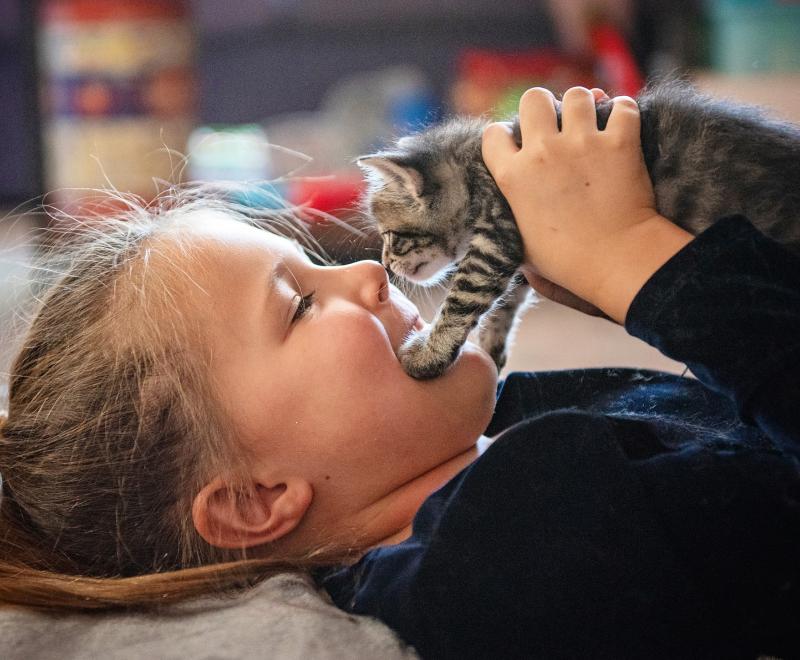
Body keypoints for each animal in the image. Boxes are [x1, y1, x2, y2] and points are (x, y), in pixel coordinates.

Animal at [358, 82, 800, 378]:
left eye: (392, 237)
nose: (385, 265)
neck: (475, 166)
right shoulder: (517, 252)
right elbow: (506, 304)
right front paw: (491, 349)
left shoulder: (497, 233)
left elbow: (463, 299)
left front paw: (430, 355)